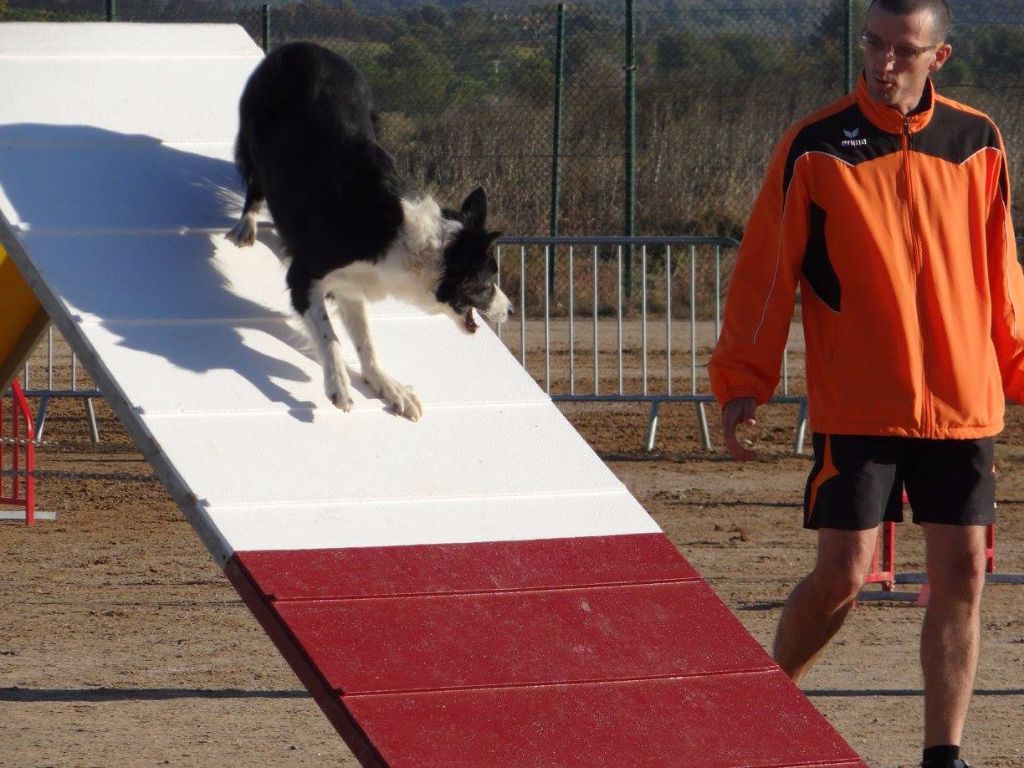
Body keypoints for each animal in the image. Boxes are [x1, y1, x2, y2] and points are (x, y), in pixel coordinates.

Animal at [226, 41, 509, 421]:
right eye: (486, 282)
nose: (510, 310)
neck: (409, 243)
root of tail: (299, 46)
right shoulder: (305, 274)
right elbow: (329, 336)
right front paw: (339, 385)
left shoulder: (353, 284)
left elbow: (365, 341)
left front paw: (388, 385)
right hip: (258, 136)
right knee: (256, 177)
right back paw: (247, 223)